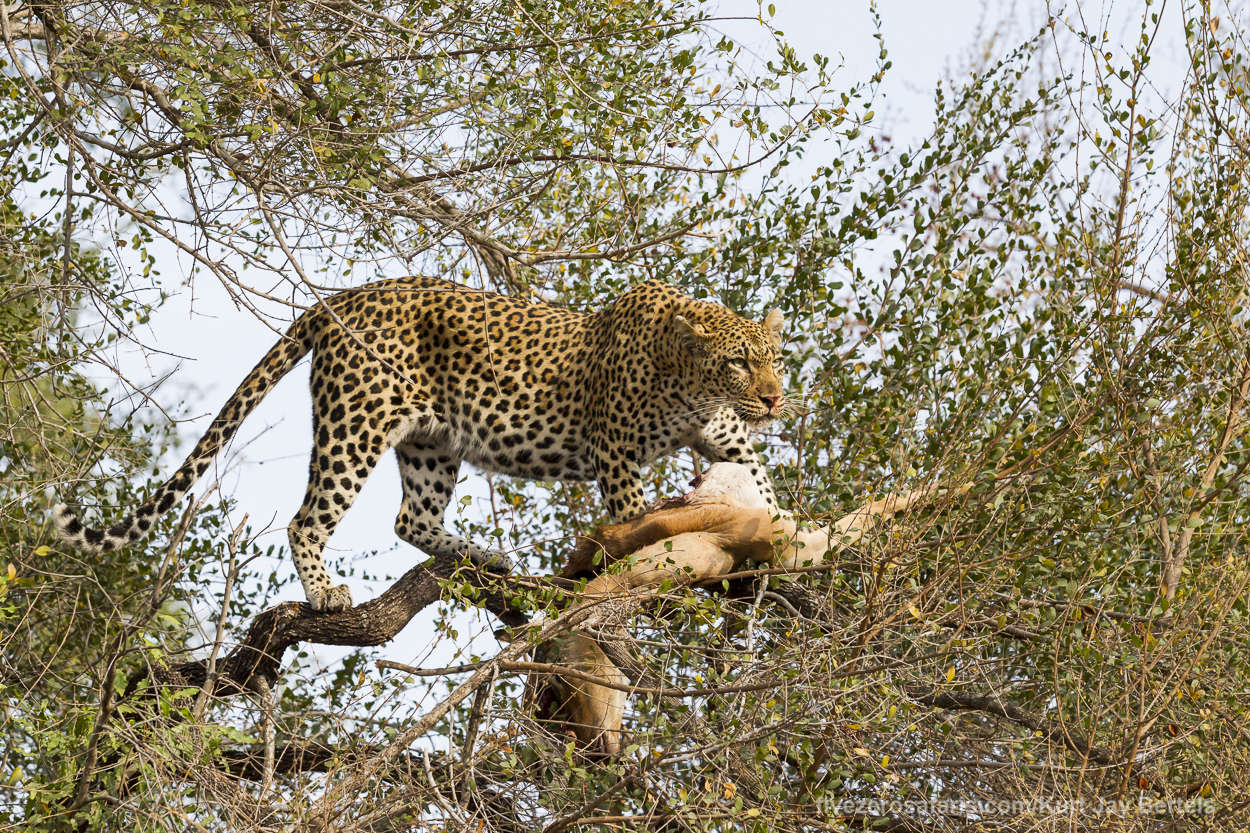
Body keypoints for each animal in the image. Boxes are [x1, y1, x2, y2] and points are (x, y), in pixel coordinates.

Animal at [56, 275, 790, 607]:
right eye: (737, 362)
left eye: (774, 359)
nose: (775, 397)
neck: (689, 384)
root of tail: (341, 297)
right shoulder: (616, 454)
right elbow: (637, 518)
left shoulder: (729, 439)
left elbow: (762, 486)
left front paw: (784, 542)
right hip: (355, 426)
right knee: (308, 519)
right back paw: (325, 592)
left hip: (433, 443)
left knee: (411, 517)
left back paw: (480, 555)